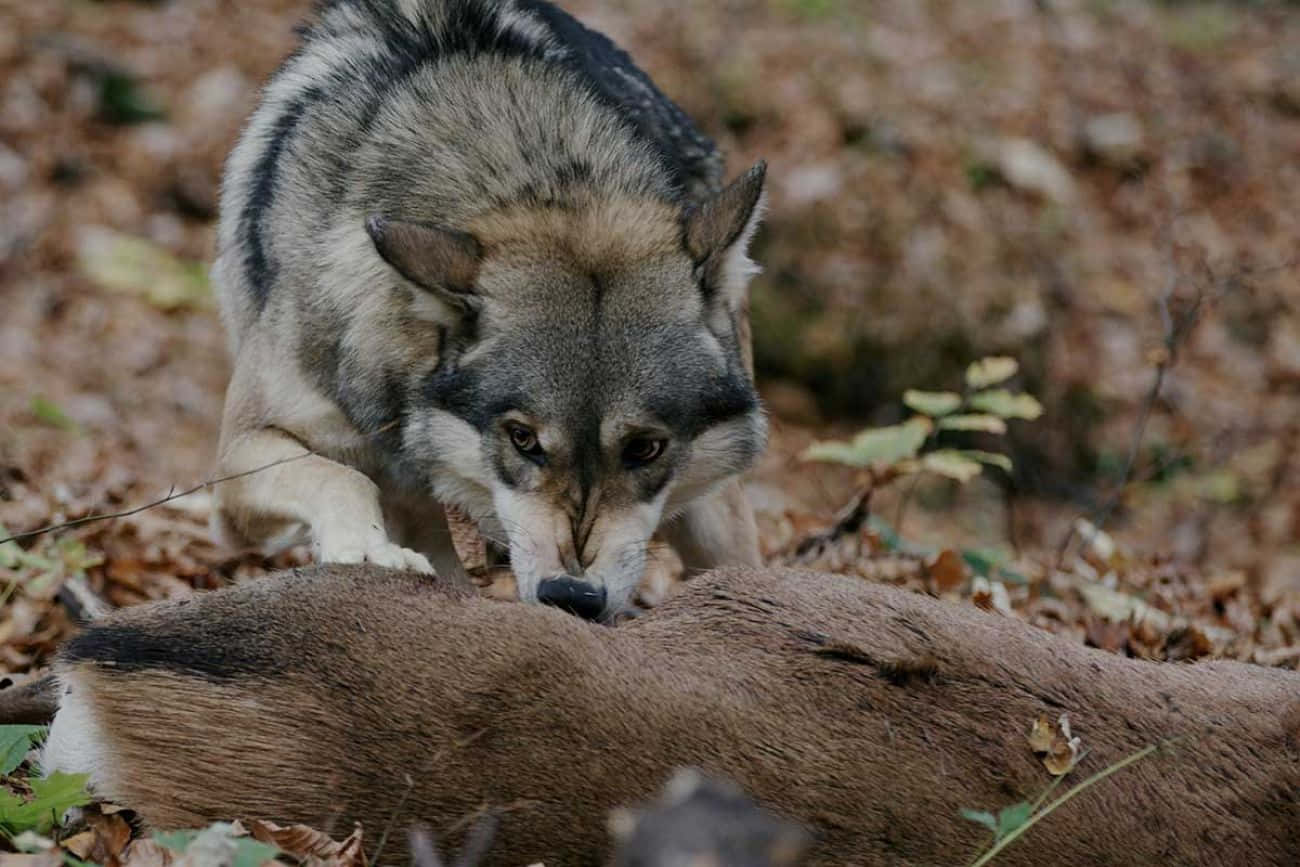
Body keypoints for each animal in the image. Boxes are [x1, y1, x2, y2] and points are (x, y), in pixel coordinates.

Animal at [208, 0, 764, 616]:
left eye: (645, 448)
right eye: (523, 438)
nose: (572, 595)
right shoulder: (238, 463)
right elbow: (344, 478)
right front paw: (367, 549)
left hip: (718, 521)